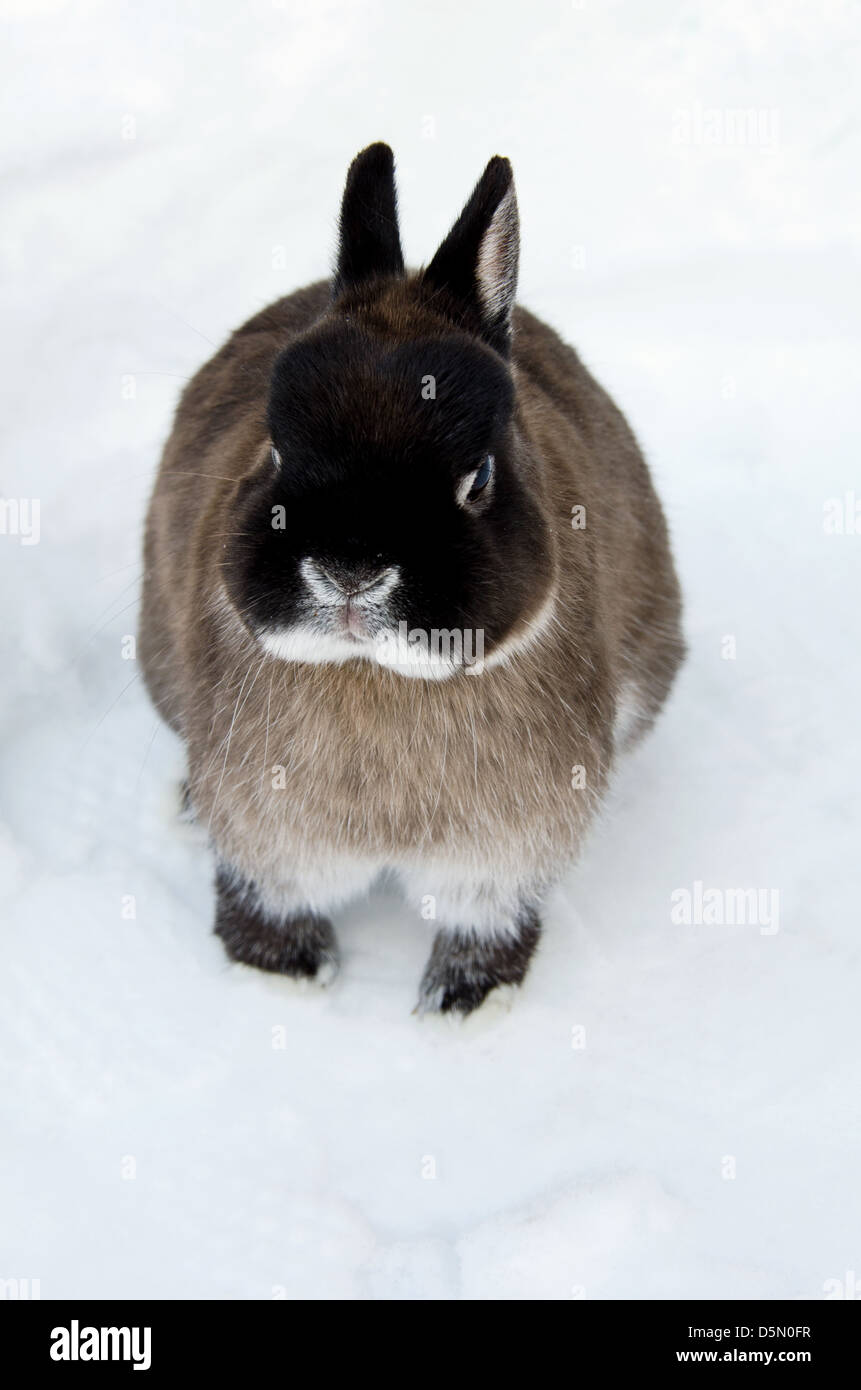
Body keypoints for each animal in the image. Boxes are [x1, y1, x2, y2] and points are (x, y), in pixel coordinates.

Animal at [138, 143, 684, 1011]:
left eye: (479, 478)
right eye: (276, 449)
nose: (349, 570)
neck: (375, 674)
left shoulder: (503, 858)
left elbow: (487, 918)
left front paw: (466, 1003)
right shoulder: (267, 838)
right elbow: (262, 890)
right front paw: (281, 973)